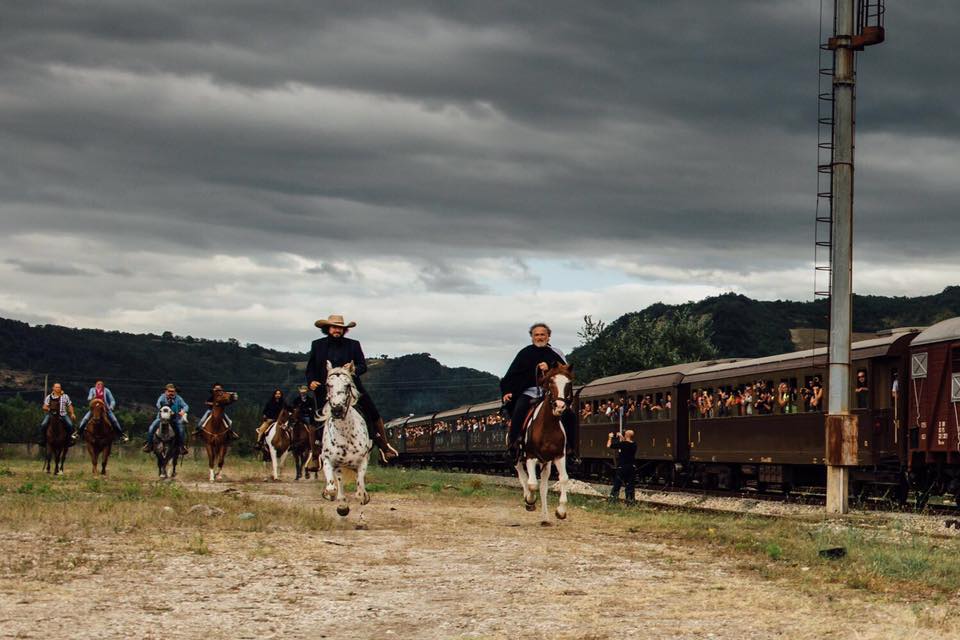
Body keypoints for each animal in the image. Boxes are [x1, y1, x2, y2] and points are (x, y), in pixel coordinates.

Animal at [318, 362, 372, 516]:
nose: (337, 410)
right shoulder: (328, 460)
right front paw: (335, 500)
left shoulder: (363, 461)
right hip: (339, 467)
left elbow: (360, 491)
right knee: (339, 483)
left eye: (347, 385)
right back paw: (342, 506)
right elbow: (332, 488)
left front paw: (363, 497)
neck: (345, 433)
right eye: (328, 385)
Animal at [512, 364, 572, 524]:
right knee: (523, 476)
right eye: (551, 382)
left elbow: (563, 478)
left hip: (546, 464)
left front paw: (561, 511)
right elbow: (532, 484)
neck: (548, 427)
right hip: (518, 456)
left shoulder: (559, 456)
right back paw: (528, 499)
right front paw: (529, 501)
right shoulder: (530, 456)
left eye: (568, 384)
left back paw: (545, 518)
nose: (559, 406)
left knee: (543, 487)